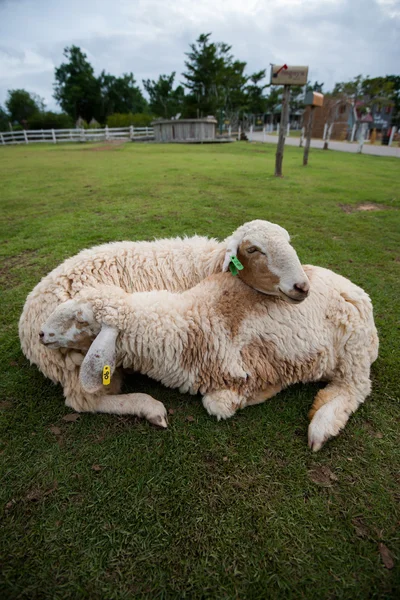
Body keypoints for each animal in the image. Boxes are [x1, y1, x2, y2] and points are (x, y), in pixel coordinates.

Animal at [18, 220, 310, 418]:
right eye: (253, 249)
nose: (302, 286)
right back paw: (149, 407)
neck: (205, 265)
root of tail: (27, 327)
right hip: (78, 358)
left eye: (289, 242)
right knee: (84, 401)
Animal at [40, 234, 378, 450]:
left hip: (353, 352)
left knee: (354, 388)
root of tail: (355, 289)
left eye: (82, 319)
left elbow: (217, 404)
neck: (188, 318)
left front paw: (252, 395)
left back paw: (321, 427)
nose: (42, 333)